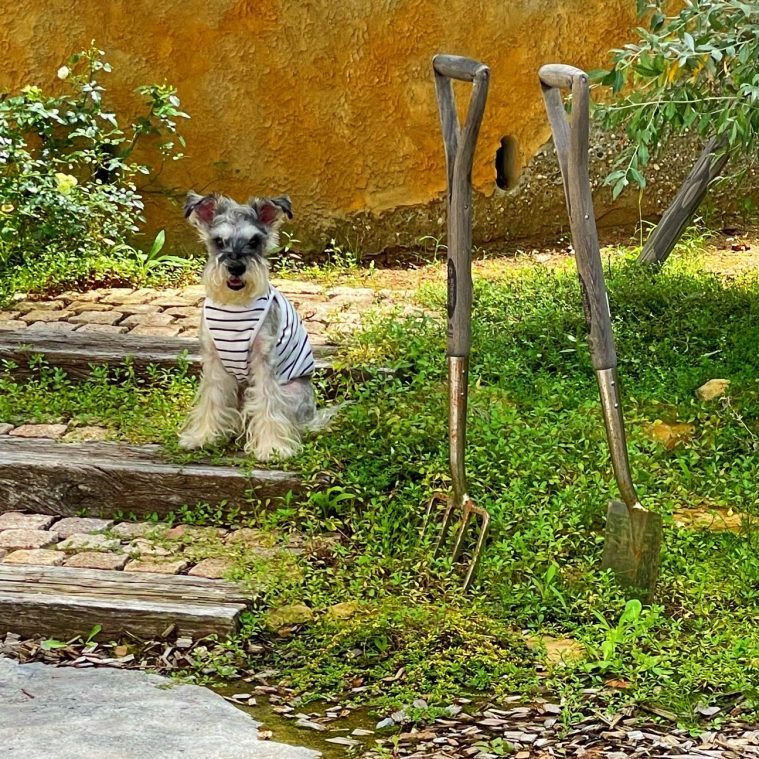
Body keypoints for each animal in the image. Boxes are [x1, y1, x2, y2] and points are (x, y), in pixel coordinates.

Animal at [180, 193, 332, 460]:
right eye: (219, 241)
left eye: (254, 241)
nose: (236, 267)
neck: (234, 308)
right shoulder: (214, 363)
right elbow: (211, 398)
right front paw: (202, 437)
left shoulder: (264, 362)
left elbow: (268, 402)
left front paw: (272, 447)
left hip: (291, 391)